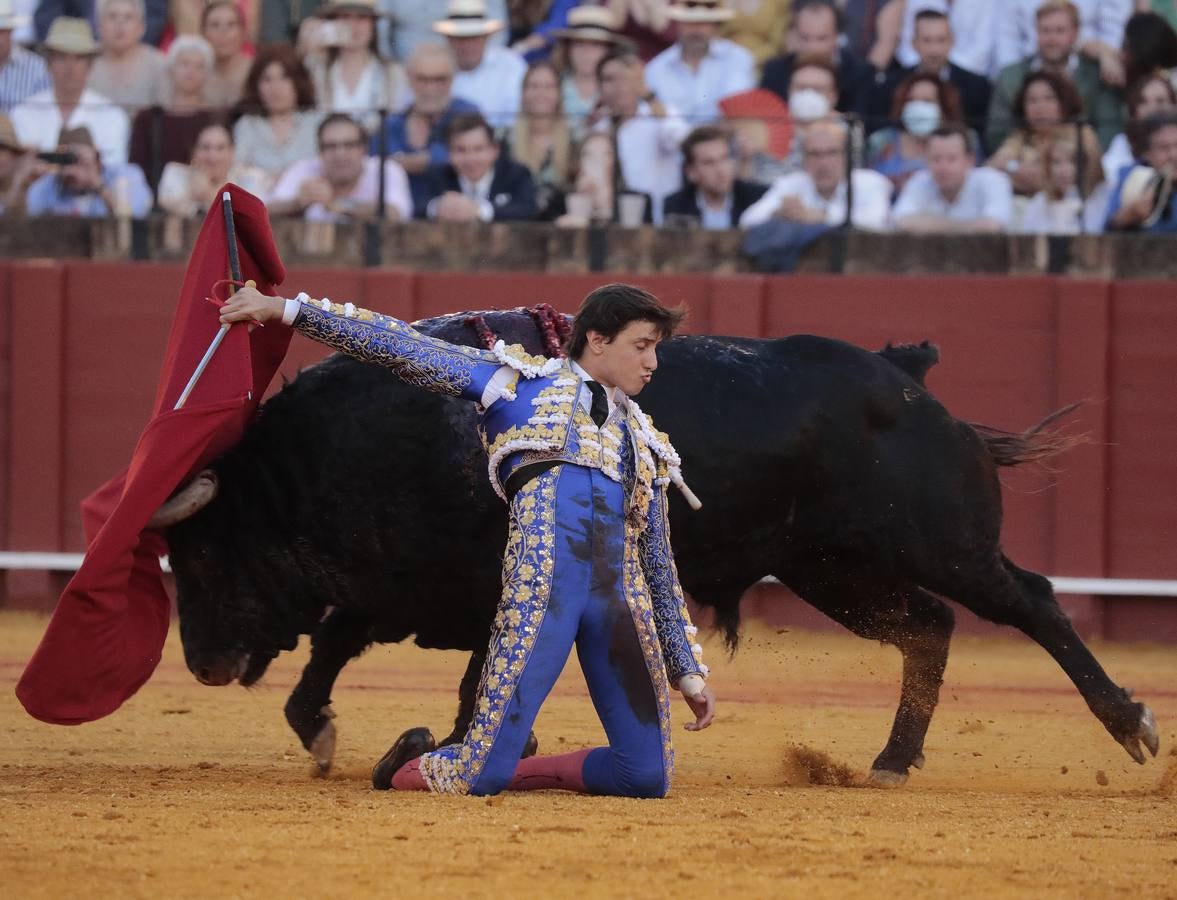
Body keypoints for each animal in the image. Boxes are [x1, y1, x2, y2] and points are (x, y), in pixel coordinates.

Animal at [156, 310, 1158, 785]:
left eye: (201, 556)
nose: (200, 665)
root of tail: (904, 376)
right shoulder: (395, 586)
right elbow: (332, 646)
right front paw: (325, 731)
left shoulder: (467, 588)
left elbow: (467, 675)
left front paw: (454, 744)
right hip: (830, 569)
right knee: (928, 628)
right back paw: (887, 761)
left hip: (938, 542)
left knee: (1028, 599)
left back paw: (1129, 724)